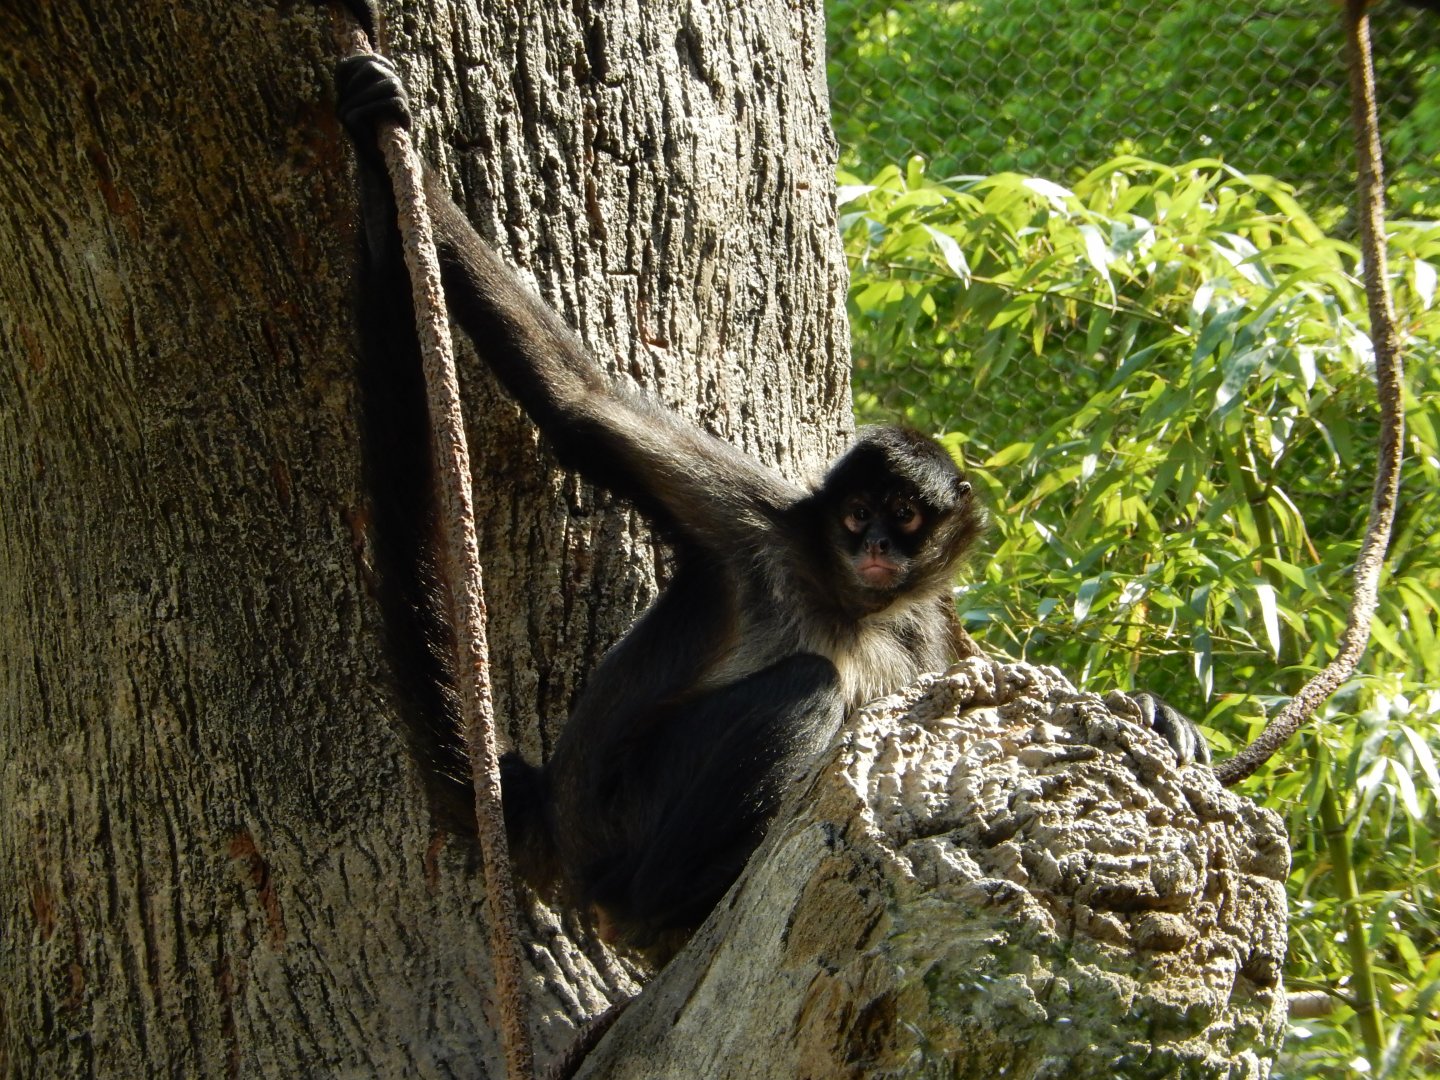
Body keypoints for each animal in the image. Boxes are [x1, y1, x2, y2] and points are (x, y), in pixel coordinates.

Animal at [334, 53, 1206, 960]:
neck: (848, 603)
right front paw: (379, 120)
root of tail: (562, 823)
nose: (877, 545)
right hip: (627, 813)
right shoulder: (755, 523)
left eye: (908, 515)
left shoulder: (923, 622)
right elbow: (580, 402)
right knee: (808, 685)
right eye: (857, 514)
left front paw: (1157, 714)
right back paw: (670, 899)